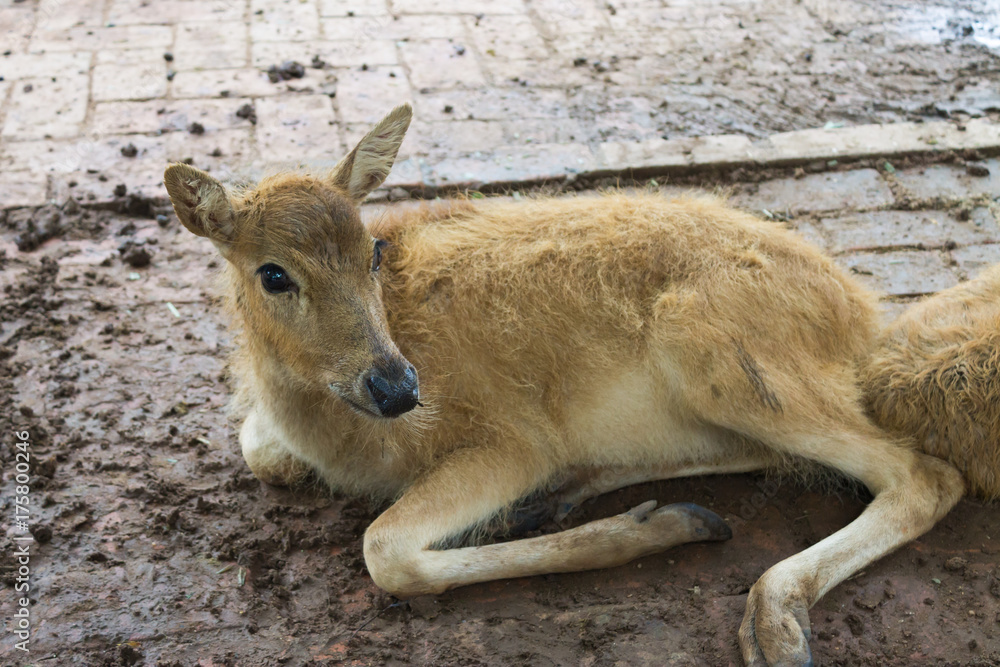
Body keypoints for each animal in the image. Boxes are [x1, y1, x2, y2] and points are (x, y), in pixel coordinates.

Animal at [163, 103, 985, 666]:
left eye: (372, 250)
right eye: (273, 274)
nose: (399, 387)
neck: (342, 435)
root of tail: (860, 318)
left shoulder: (508, 440)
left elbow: (385, 550)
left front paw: (646, 533)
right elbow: (260, 452)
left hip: (717, 349)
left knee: (925, 474)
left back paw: (772, 619)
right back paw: (583, 492)